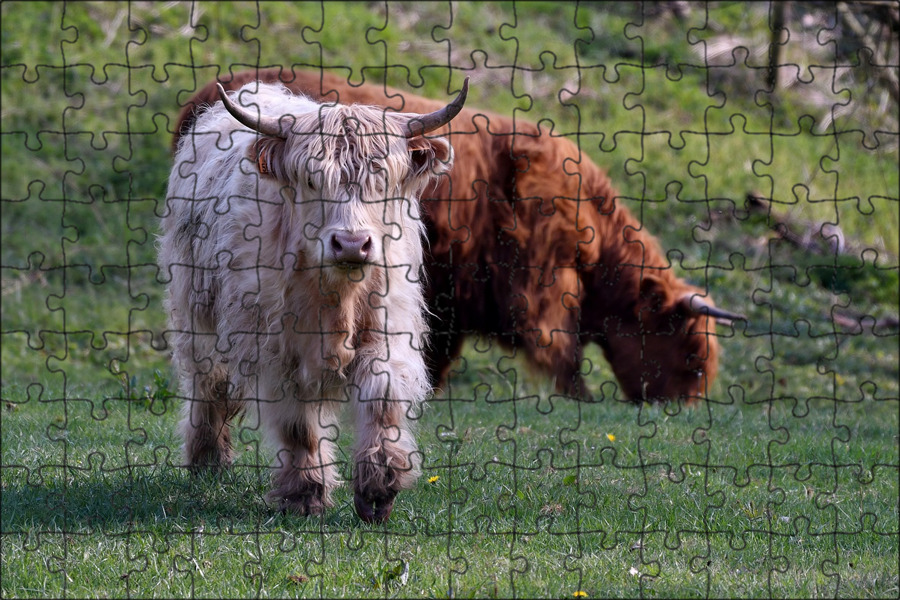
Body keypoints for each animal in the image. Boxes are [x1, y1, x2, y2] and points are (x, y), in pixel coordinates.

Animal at [161, 78, 468, 520]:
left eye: (382, 181)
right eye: (310, 181)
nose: (352, 244)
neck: (338, 294)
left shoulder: (389, 329)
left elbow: (382, 396)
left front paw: (379, 486)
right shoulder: (278, 352)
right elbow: (299, 426)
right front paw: (304, 495)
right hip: (195, 315)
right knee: (208, 384)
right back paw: (207, 461)